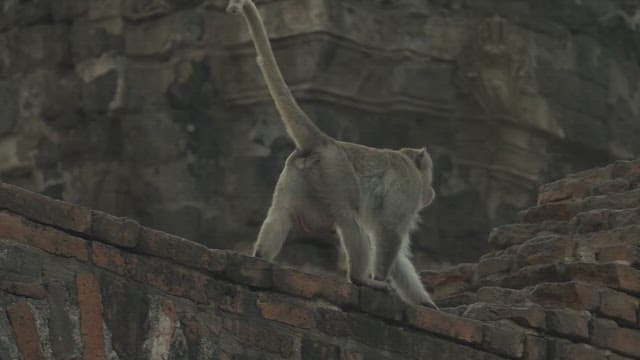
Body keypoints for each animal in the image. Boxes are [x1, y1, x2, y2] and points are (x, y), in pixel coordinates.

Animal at [226, 0, 440, 310]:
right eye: (429, 176)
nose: (432, 192)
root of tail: (326, 142)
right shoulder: (408, 185)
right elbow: (389, 230)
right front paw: (381, 278)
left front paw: (425, 303)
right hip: (335, 173)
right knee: (349, 219)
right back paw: (361, 279)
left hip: (298, 173)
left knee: (281, 213)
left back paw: (260, 259)